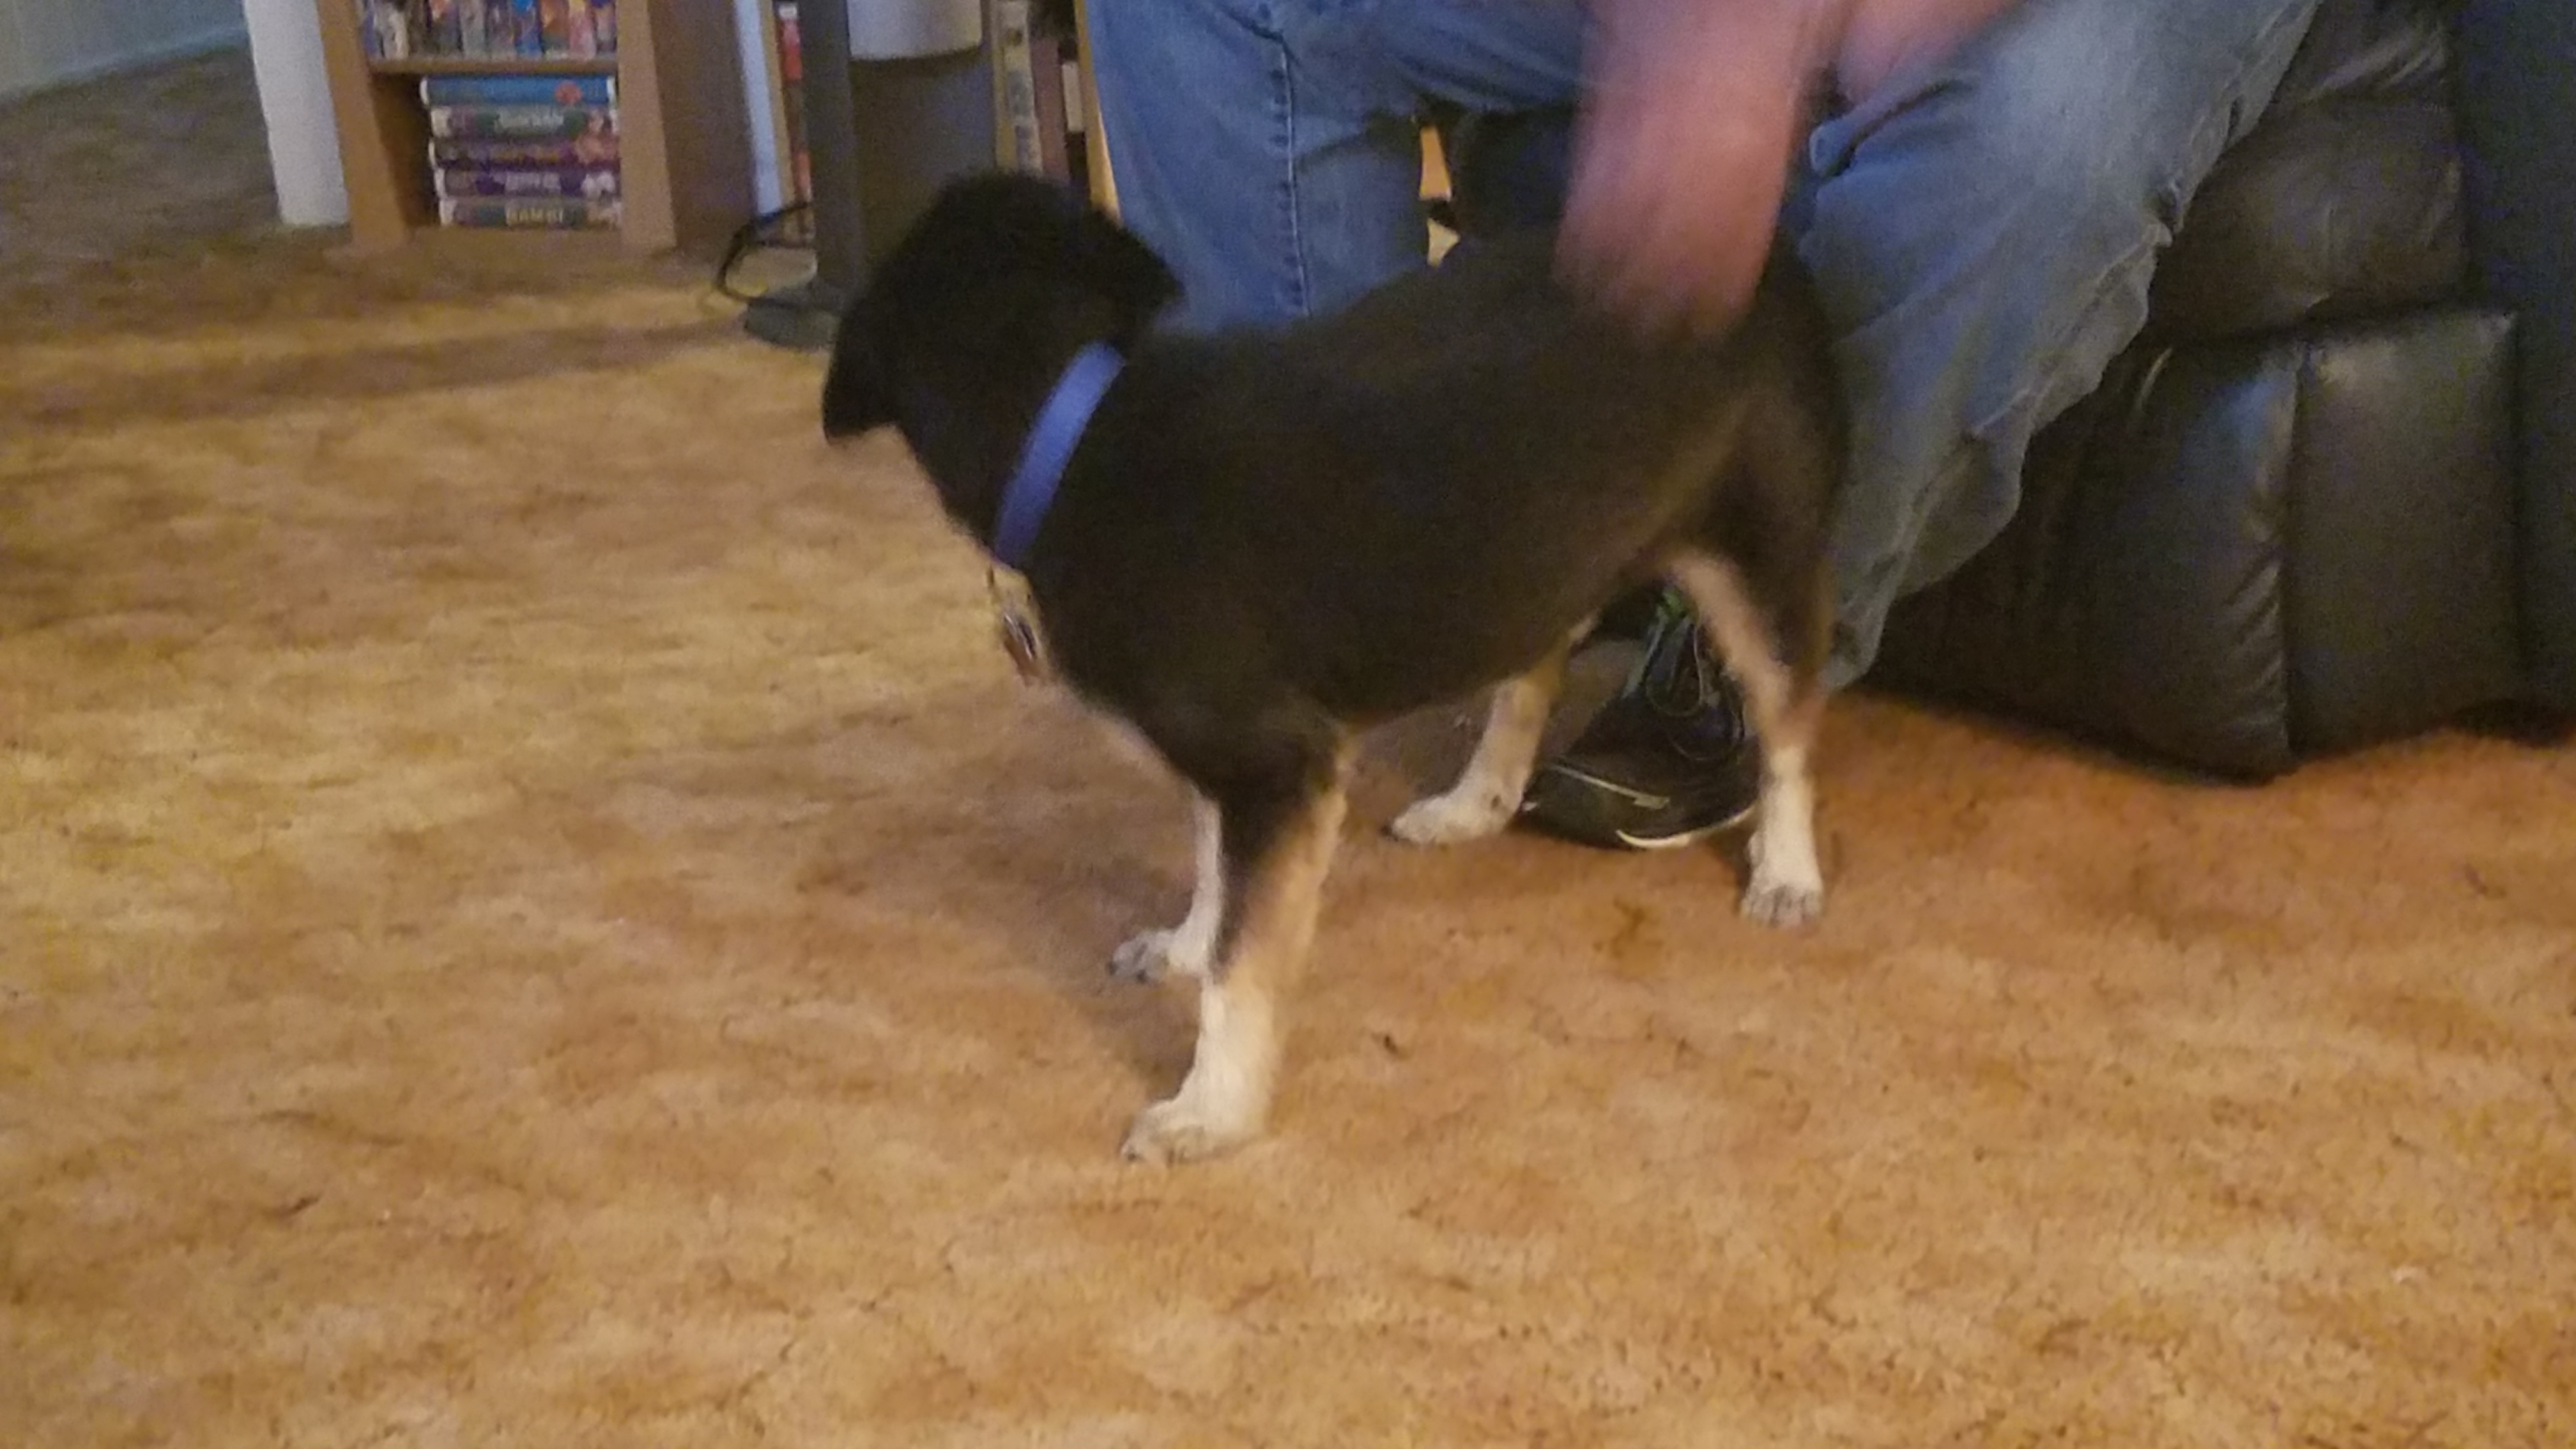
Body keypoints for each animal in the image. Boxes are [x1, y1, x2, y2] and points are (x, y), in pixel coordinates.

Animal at [823, 173, 1846, 1163]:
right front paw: (1184, 945)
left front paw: (1211, 1110)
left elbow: (1242, 962)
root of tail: (1773, 253)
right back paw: (1475, 801)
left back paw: (1788, 869)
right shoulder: (1228, 768)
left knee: (1790, 718)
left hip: (1759, 556)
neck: (1073, 438)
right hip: (1534, 553)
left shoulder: (1272, 765)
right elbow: (1213, 873)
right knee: (1535, 664)